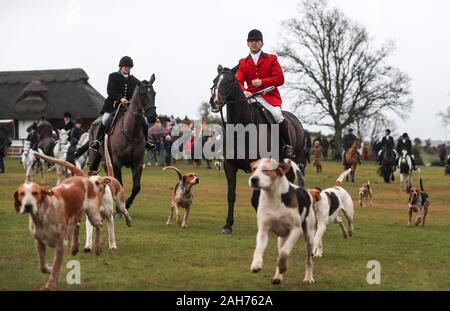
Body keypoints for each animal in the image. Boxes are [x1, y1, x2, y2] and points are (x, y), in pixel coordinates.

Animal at [88, 75, 158, 211]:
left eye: (154, 93)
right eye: (142, 93)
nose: (152, 117)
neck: (131, 133)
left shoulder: (137, 164)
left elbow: (136, 187)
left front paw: (127, 204)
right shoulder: (117, 163)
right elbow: (119, 183)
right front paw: (120, 208)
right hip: (95, 156)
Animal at [209, 66, 308, 236]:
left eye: (230, 81)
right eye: (215, 80)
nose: (214, 101)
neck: (242, 128)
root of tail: (294, 119)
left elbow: (255, 199)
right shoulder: (229, 166)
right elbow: (231, 195)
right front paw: (228, 225)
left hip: (293, 162)